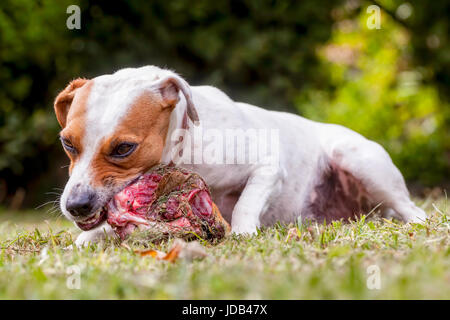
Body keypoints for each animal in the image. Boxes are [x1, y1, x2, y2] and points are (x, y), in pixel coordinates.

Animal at [54, 65, 428, 245]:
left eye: (123, 149)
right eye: (67, 143)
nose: (75, 206)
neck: (183, 150)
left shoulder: (269, 168)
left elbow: (247, 202)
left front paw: (244, 232)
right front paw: (91, 236)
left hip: (356, 157)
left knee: (413, 209)